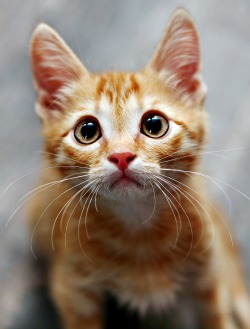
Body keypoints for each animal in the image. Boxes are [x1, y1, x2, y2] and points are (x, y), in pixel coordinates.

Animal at [27, 7, 250, 328]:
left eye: (154, 125)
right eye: (87, 131)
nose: (121, 156)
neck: (139, 231)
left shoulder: (208, 275)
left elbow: (216, 316)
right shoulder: (71, 288)